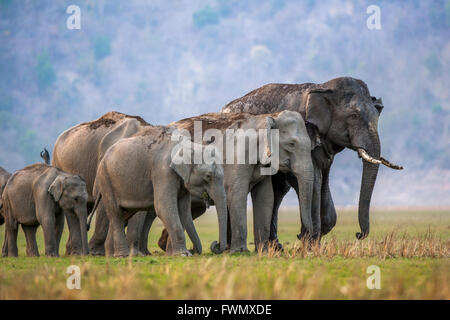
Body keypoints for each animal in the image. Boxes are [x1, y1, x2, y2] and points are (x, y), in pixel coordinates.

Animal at [51, 110, 149, 255]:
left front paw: (135, 254)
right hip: (58, 162)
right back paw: (77, 252)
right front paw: (96, 253)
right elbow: (103, 198)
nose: (88, 226)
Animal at [91, 125, 227, 258]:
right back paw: (121, 256)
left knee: (125, 213)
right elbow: (164, 207)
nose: (216, 244)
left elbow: (182, 209)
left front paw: (173, 255)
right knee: (115, 213)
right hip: (105, 178)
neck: (187, 145)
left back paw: (111, 255)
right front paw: (182, 254)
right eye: (208, 176)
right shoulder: (162, 171)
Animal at [151, 111, 312, 254]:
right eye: (291, 144)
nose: (300, 236)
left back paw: (165, 246)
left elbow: (265, 198)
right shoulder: (237, 158)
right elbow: (237, 194)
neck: (266, 117)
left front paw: (264, 252)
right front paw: (240, 251)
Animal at [223, 77, 402, 242]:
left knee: (279, 190)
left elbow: (323, 181)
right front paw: (308, 240)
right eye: (354, 115)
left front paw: (312, 239)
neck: (324, 88)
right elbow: (314, 179)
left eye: (377, 115)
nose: (358, 234)